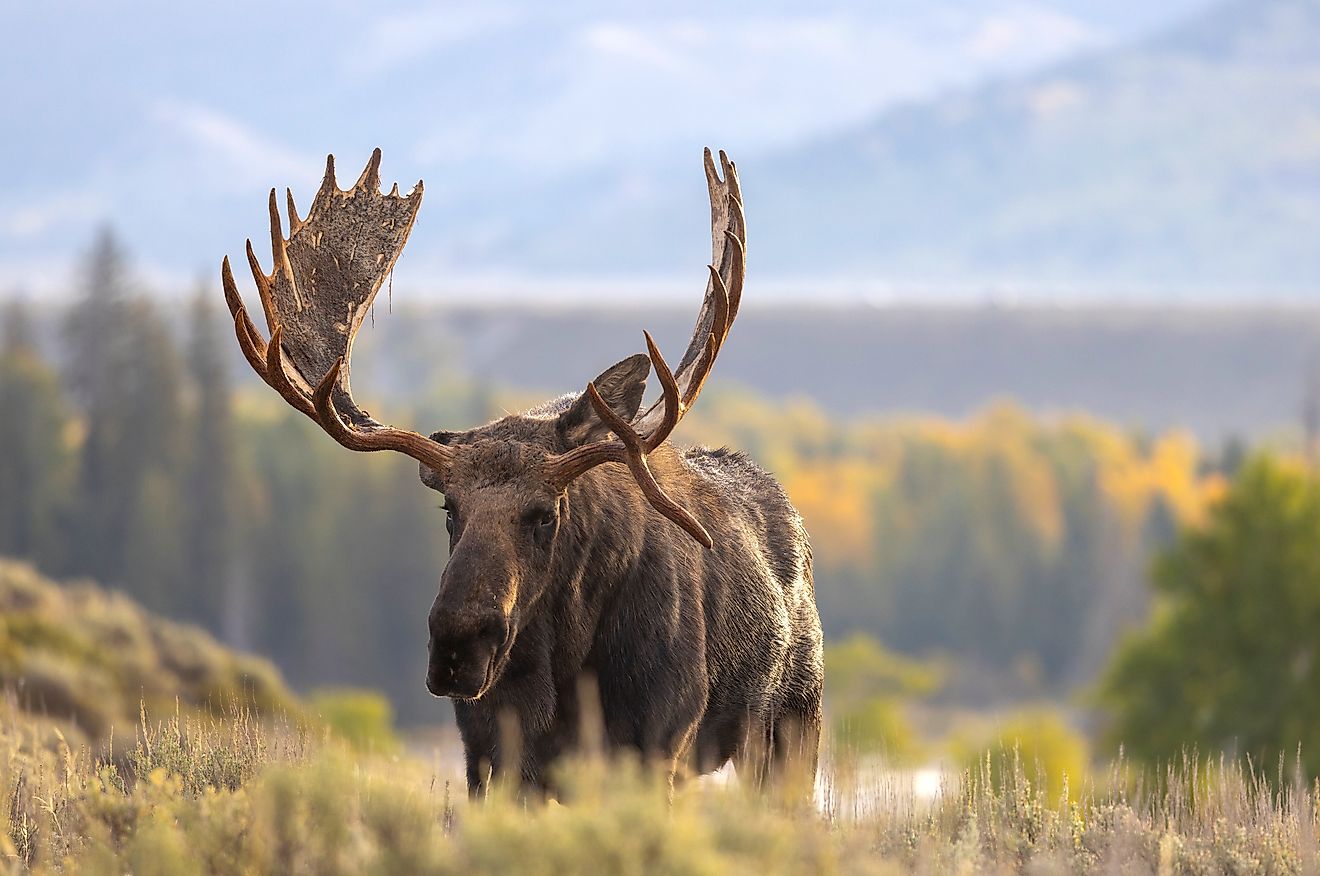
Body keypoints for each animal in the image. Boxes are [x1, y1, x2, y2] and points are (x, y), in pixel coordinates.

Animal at [220, 148, 823, 796]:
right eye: (449, 508)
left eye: (544, 515)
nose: (457, 646)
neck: (562, 673)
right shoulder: (488, 759)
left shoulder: (657, 744)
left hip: (791, 722)